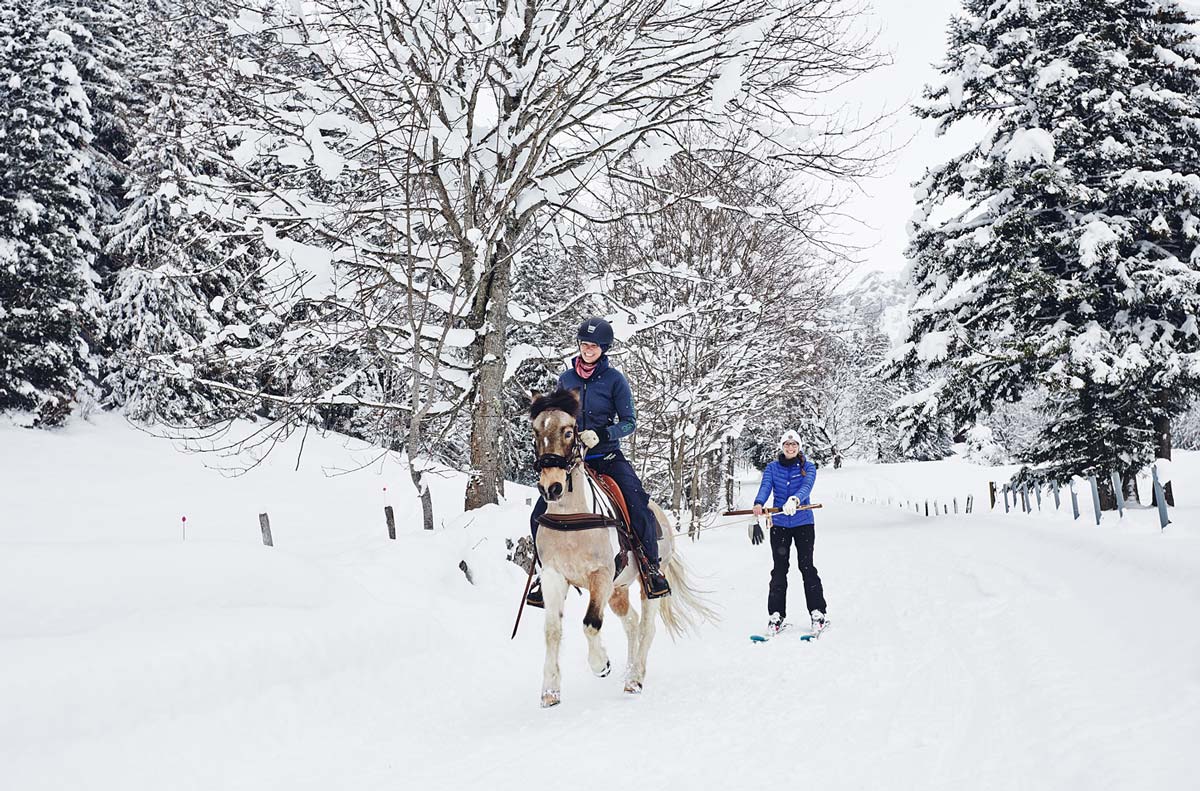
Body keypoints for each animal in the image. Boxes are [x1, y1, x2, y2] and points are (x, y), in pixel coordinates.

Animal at [532, 386, 715, 710]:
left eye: (568, 431)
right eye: (535, 431)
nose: (551, 488)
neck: (570, 517)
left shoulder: (600, 575)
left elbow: (591, 623)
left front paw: (600, 664)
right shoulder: (555, 576)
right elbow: (552, 631)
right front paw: (550, 691)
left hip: (645, 582)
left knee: (646, 627)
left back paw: (635, 679)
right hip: (617, 591)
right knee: (631, 623)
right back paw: (629, 672)